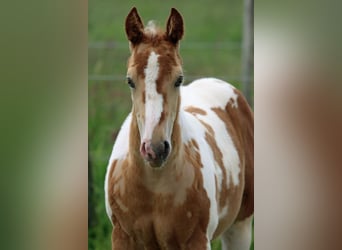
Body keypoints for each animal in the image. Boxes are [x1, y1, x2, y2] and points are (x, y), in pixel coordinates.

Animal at [105, 6, 254, 249]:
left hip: (240, 227)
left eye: (179, 79)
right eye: (129, 80)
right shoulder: (122, 237)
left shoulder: (197, 240)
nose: (155, 149)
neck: (154, 189)